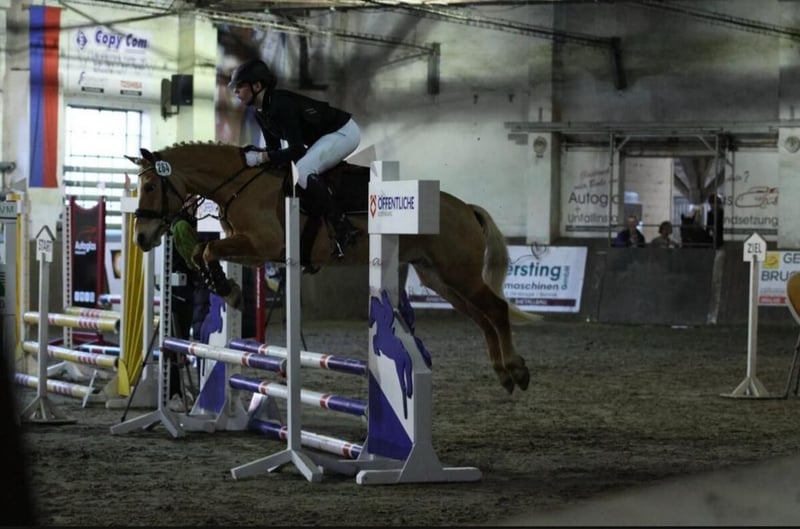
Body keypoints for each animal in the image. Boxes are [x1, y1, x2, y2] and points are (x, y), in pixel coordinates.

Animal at [126, 141, 540, 394]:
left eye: (150, 187)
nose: (142, 238)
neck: (239, 184)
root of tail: (465, 207)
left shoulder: (264, 244)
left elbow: (208, 249)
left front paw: (229, 291)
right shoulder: (254, 251)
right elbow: (203, 252)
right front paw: (230, 290)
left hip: (459, 275)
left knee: (496, 310)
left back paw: (516, 370)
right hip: (441, 279)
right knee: (483, 317)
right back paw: (505, 372)